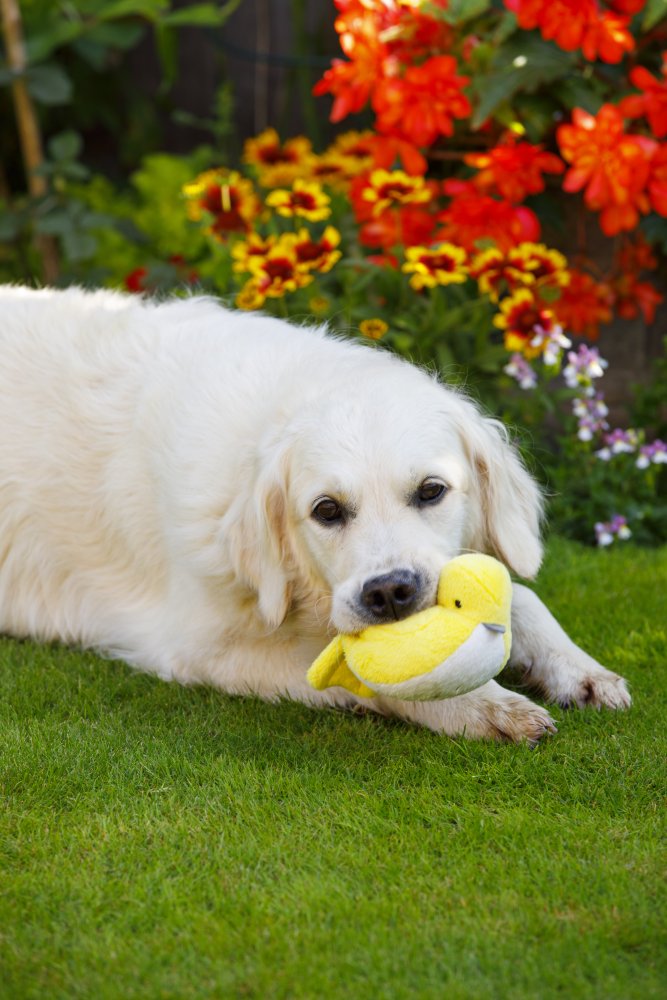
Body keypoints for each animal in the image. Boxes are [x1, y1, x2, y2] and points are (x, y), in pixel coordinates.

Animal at [0, 286, 632, 740]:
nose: (390, 592)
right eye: (326, 510)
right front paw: (483, 705)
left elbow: (521, 596)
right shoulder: (199, 647)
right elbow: (366, 672)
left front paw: (578, 669)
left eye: (431, 491)